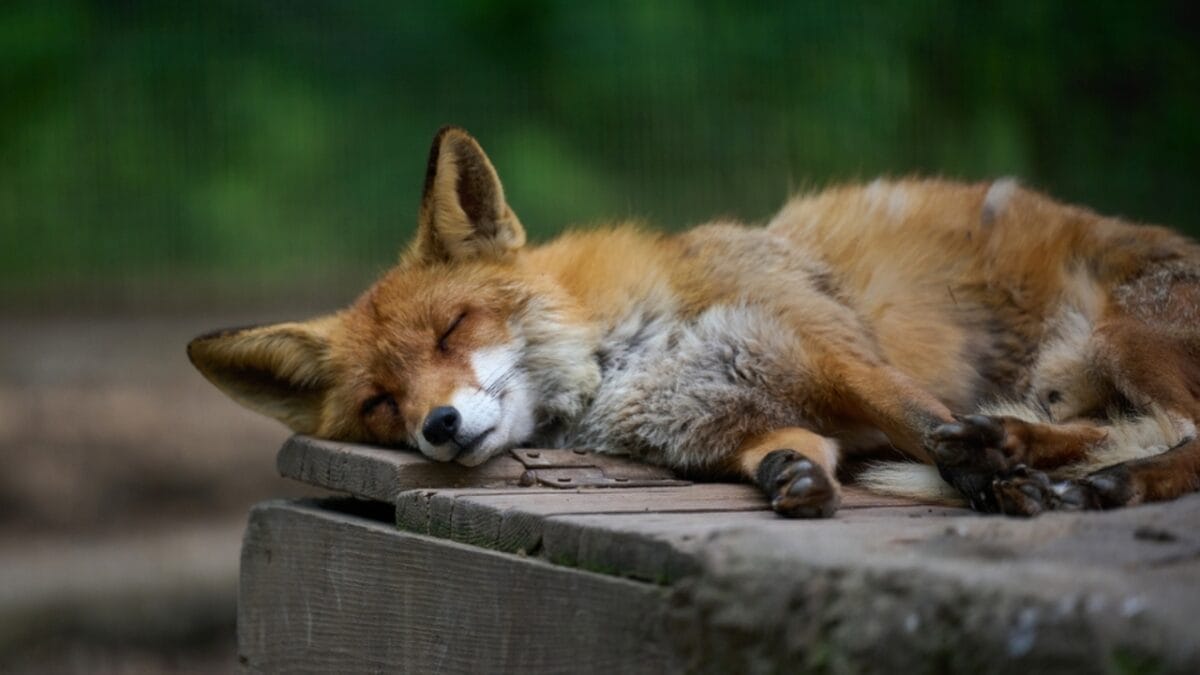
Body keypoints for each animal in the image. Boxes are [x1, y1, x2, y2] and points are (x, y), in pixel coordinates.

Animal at [188, 126, 1200, 518]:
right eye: (379, 404)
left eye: (452, 330)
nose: (436, 426)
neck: (628, 363)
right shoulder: (723, 418)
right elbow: (792, 451)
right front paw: (798, 478)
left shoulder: (830, 351)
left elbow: (925, 419)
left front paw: (983, 474)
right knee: (1118, 429)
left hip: (1117, 334)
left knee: (1175, 432)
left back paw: (1081, 478)